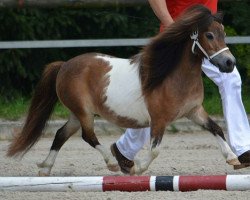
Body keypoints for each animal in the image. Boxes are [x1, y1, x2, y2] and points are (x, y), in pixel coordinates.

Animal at [7, 5, 240, 176]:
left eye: (223, 33)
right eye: (209, 35)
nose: (229, 63)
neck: (172, 77)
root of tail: (64, 65)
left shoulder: (194, 111)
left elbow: (216, 128)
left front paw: (233, 158)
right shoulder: (159, 120)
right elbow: (155, 149)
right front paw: (136, 167)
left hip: (77, 113)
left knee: (60, 134)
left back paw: (45, 168)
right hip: (84, 112)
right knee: (88, 136)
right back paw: (112, 163)